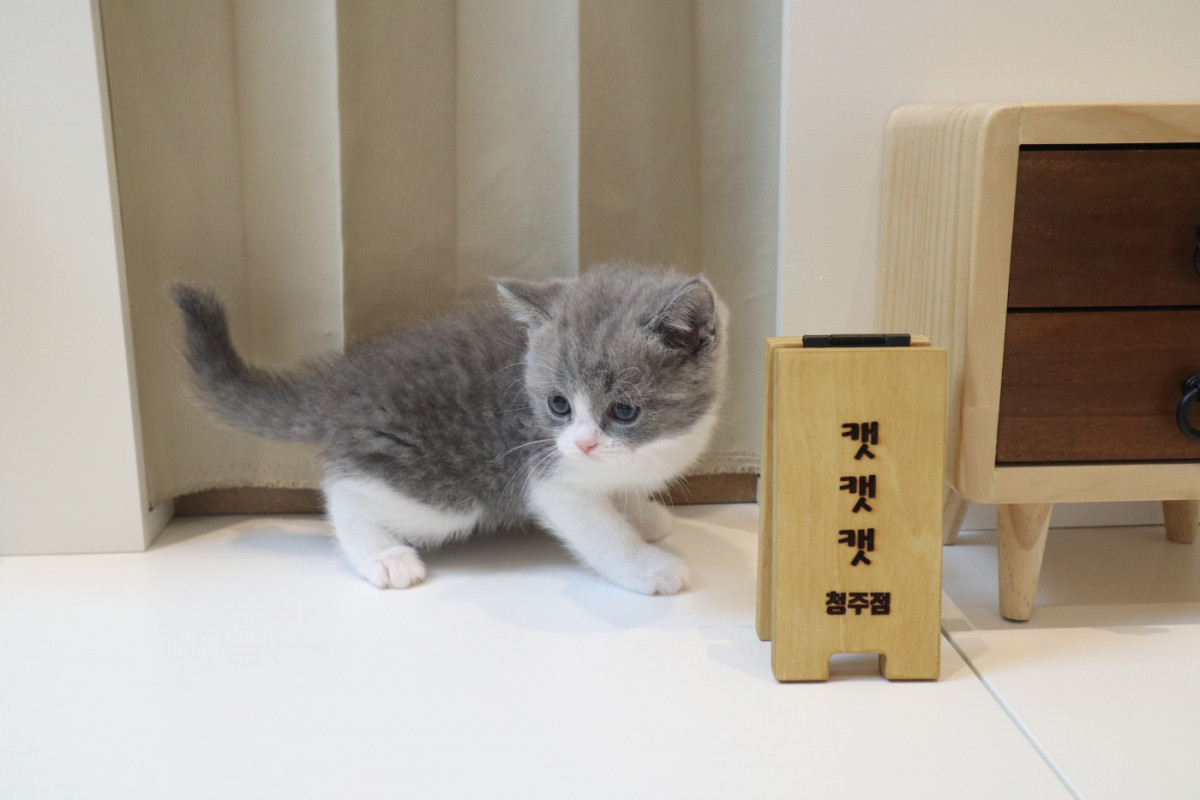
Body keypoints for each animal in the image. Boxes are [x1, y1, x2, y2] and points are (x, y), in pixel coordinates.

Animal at [171, 265, 728, 595]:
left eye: (624, 410)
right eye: (558, 405)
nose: (584, 443)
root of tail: (347, 378)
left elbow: (620, 492)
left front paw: (642, 512)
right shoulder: (548, 477)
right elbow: (600, 532)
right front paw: (648, 566)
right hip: (442, 490)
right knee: (343, 491)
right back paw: (383, 556)